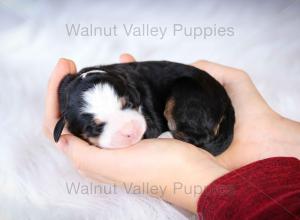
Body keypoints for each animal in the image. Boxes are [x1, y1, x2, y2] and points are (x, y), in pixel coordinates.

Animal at [54, 61, 237, 156]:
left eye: (128, 104)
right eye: (95, 127)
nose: (130, 130)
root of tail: (226, 100)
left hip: (187, 96)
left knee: (198, 138)